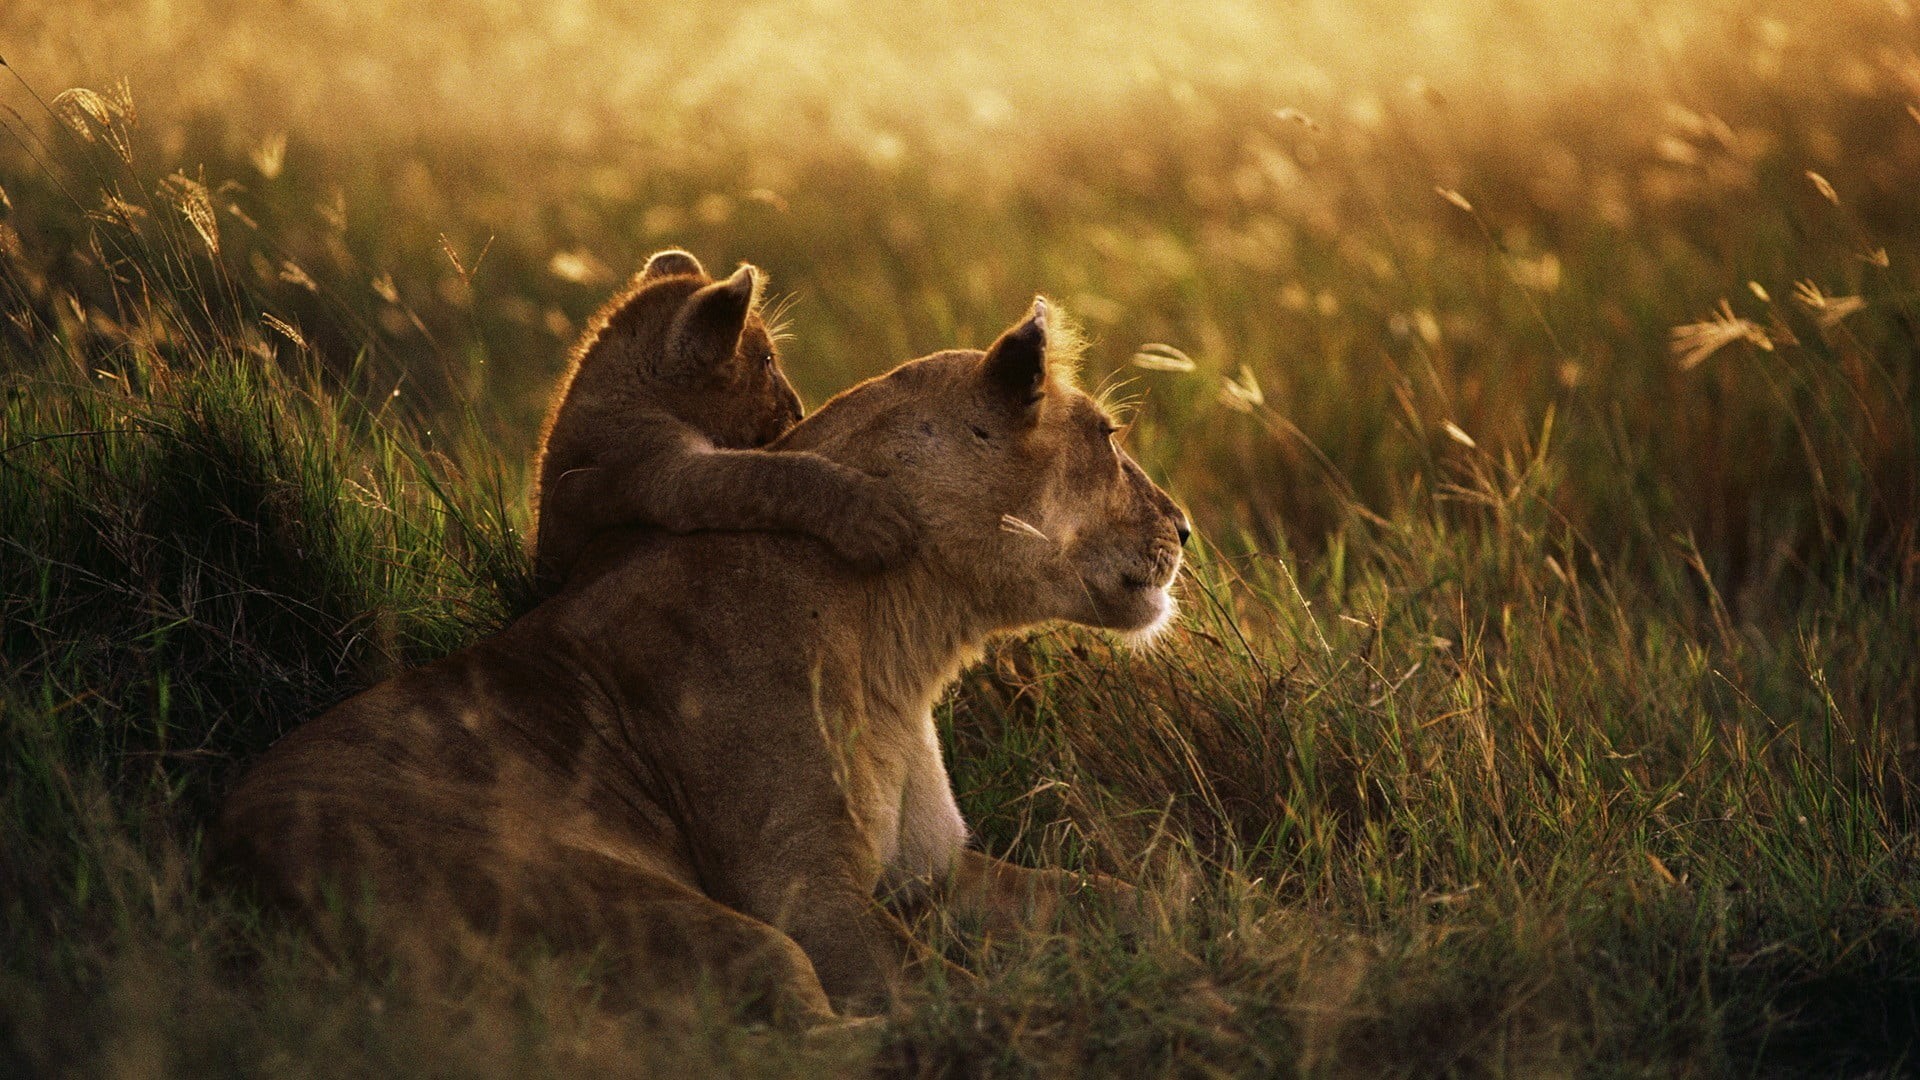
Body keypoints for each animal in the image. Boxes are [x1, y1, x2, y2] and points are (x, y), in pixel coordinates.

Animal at [216, 298, 1190, 1026]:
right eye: (1108, 437)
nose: (1184, 528)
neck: (906, 641)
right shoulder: (800, 889)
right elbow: (942, 990)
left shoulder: (934, 872)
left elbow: (1124, 895)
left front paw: (1205, 929)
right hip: (655, 911)